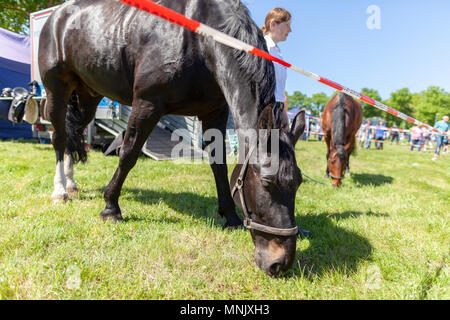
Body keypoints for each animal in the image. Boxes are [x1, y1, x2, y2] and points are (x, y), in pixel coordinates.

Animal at [38, 0, 306, 276]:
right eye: (266, 182)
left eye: (298, 183)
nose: (280, 263)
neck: (200, 38)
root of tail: (58, 16)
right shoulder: (147, 103)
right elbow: (128, 153)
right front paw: (111, 207)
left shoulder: (215, 113)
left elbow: (219, 165)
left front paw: (230, 217)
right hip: (56, 90)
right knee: (59, 138)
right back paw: (60, 190)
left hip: (88, 95)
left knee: (74, 133)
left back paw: (71, 183)